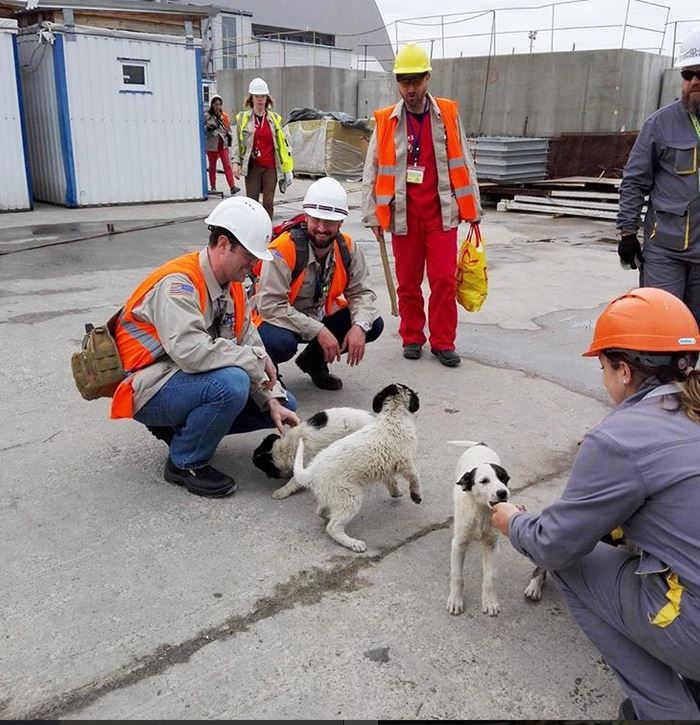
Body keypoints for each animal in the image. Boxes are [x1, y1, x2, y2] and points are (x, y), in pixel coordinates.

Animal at [290, 382, 422, 552]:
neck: (393, 416)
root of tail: (311, 472)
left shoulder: (388, 465)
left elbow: (390, 480)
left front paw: (395, 492)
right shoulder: (405, 461)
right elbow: (415, 477)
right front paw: (416, 496)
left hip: (333, 495)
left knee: (321, 510)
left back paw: (327, 515)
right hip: (349, 497)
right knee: (333, 528)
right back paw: (353, 543)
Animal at [446, 438, 512, 612]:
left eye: (504, 478)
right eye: (484, 481)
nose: (503, 492)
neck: (481, 511)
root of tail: (479, 445)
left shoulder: (491, 545)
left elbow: (490, 577)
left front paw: (489, 601)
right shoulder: (459, 544)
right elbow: (457, 577)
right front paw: (455, 600)